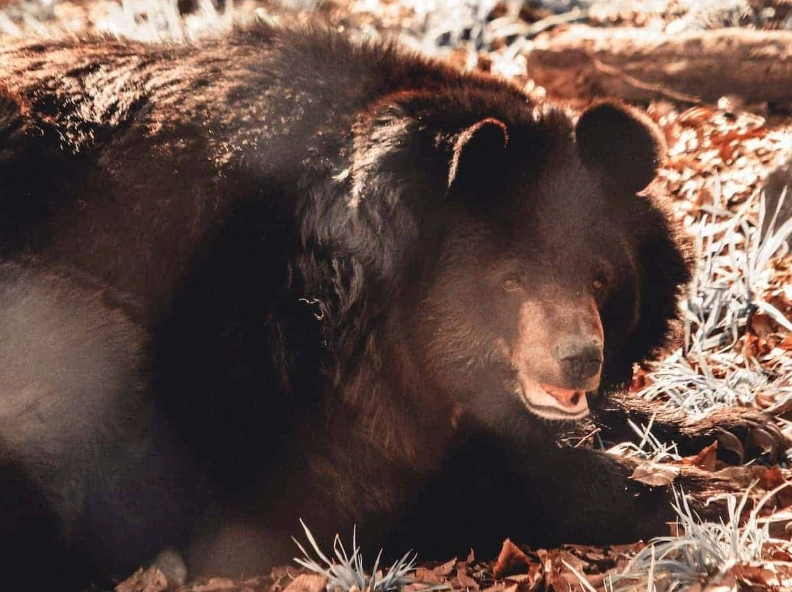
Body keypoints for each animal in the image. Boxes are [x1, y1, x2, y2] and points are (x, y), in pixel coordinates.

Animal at [0, 20, 785, 591]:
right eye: (510, 281)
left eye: (601, 279)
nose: (580, 360)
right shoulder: (276, 353)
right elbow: (396, 483)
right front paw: (712, 493)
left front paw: (741, 432)